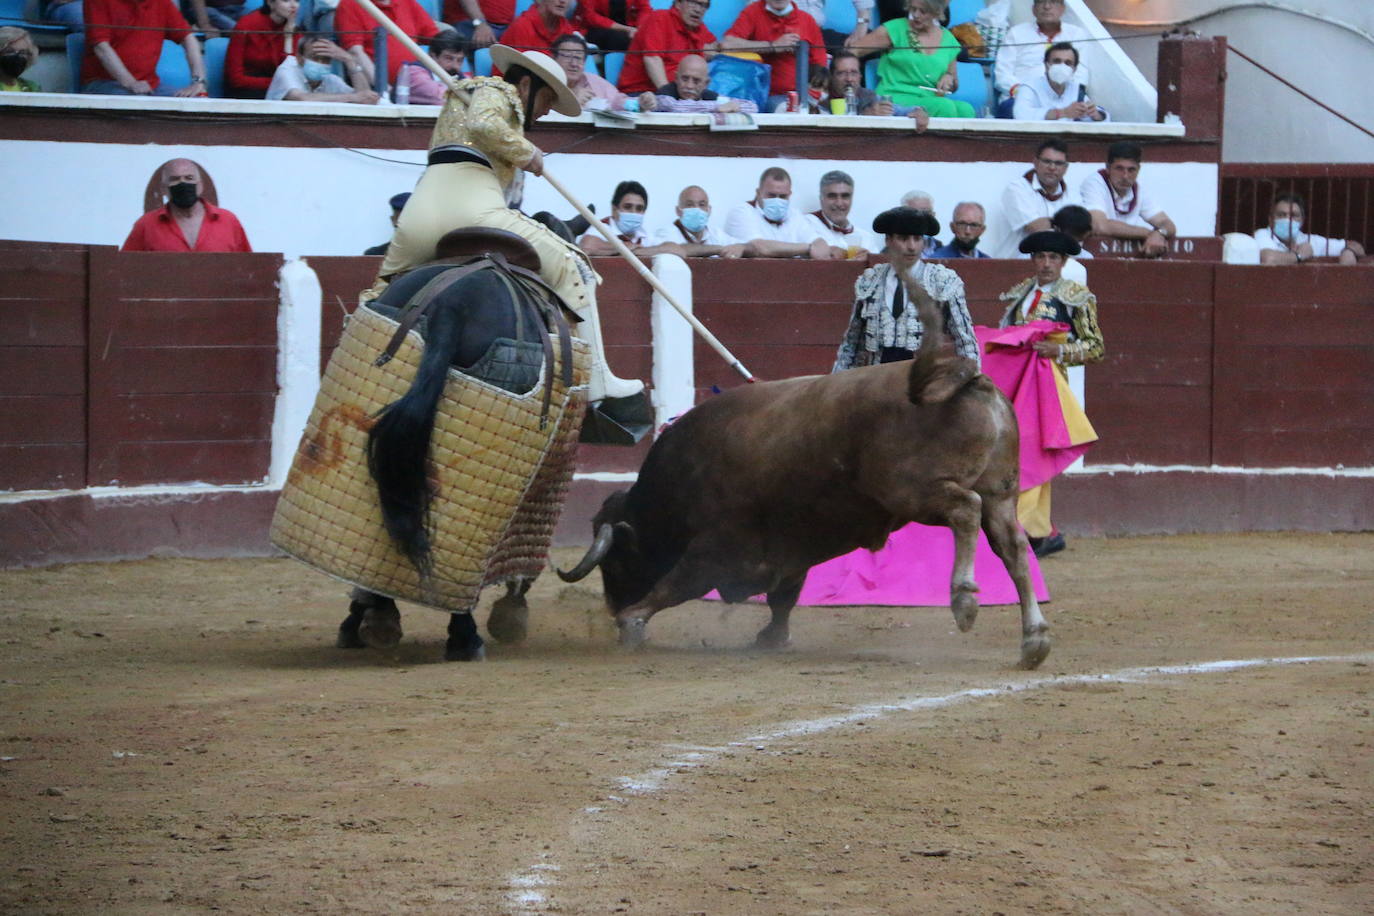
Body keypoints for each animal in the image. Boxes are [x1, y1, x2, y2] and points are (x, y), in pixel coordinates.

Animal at [557, 271, 1049, 667]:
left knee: (965, 510)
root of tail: (965, 376)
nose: (611, 606)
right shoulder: (789, 550)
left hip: (914, 491)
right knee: (1013, 545)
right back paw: (1034, 639)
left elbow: (676, 583)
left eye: (616, 562)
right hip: (1000, 492)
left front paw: (632, 621)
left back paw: (964, 600)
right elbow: (783, 597)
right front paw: (771, 637)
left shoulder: (716, 546)